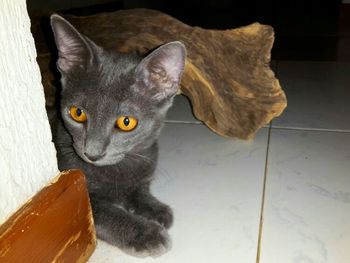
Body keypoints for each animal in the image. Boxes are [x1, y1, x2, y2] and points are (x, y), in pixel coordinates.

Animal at [50, 14, 186, 258]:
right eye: (77, 113)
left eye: (126, 122)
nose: (92, 154)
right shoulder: (83, 199)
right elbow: (107, 213)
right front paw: (147, 234)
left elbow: (140, 187)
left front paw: (155, 208)